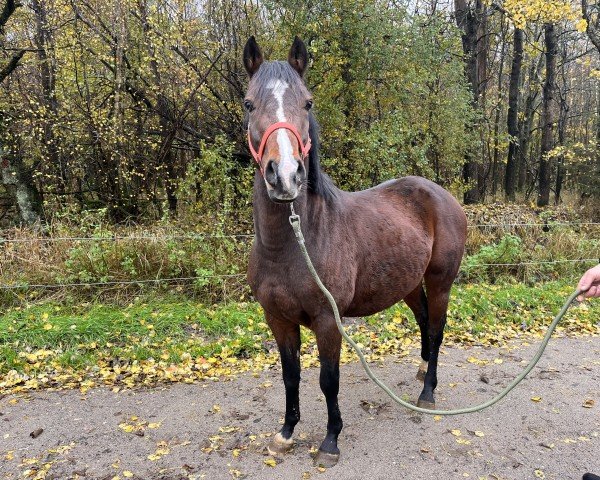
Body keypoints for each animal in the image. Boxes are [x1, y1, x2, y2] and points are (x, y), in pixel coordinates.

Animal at [244, 37, 468, 468]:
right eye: (248, 103)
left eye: (308, 103)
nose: (285, 176)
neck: (293, 243)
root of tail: (442, 195)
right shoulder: (277, 318)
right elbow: (290, 376)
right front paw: (285, 433)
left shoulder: (328, 320)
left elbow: (328, 380)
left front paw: (330, 441)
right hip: (408, 284)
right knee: (424, 321)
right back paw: (420, 371)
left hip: (441, 282)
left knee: (437, 328)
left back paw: (427, 392)